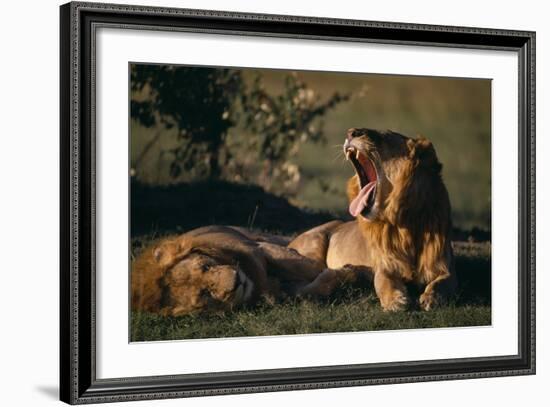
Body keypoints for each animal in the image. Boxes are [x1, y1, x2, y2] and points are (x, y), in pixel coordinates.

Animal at [130, 226, 362, 316]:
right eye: (205, 294)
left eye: (206, 266)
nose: (235, 283)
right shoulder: (284, 292)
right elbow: (307, 290)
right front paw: (345, 274)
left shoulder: (261, 248)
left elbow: (307, 266)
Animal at [292, 128, 460, 312]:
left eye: (384, 136)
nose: (350, 132)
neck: (405, 221)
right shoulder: (385, 264)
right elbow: (383, 281)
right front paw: (395, 301)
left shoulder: (445, 267)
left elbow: (442, 282)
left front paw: (431, 298)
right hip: (314, 248)